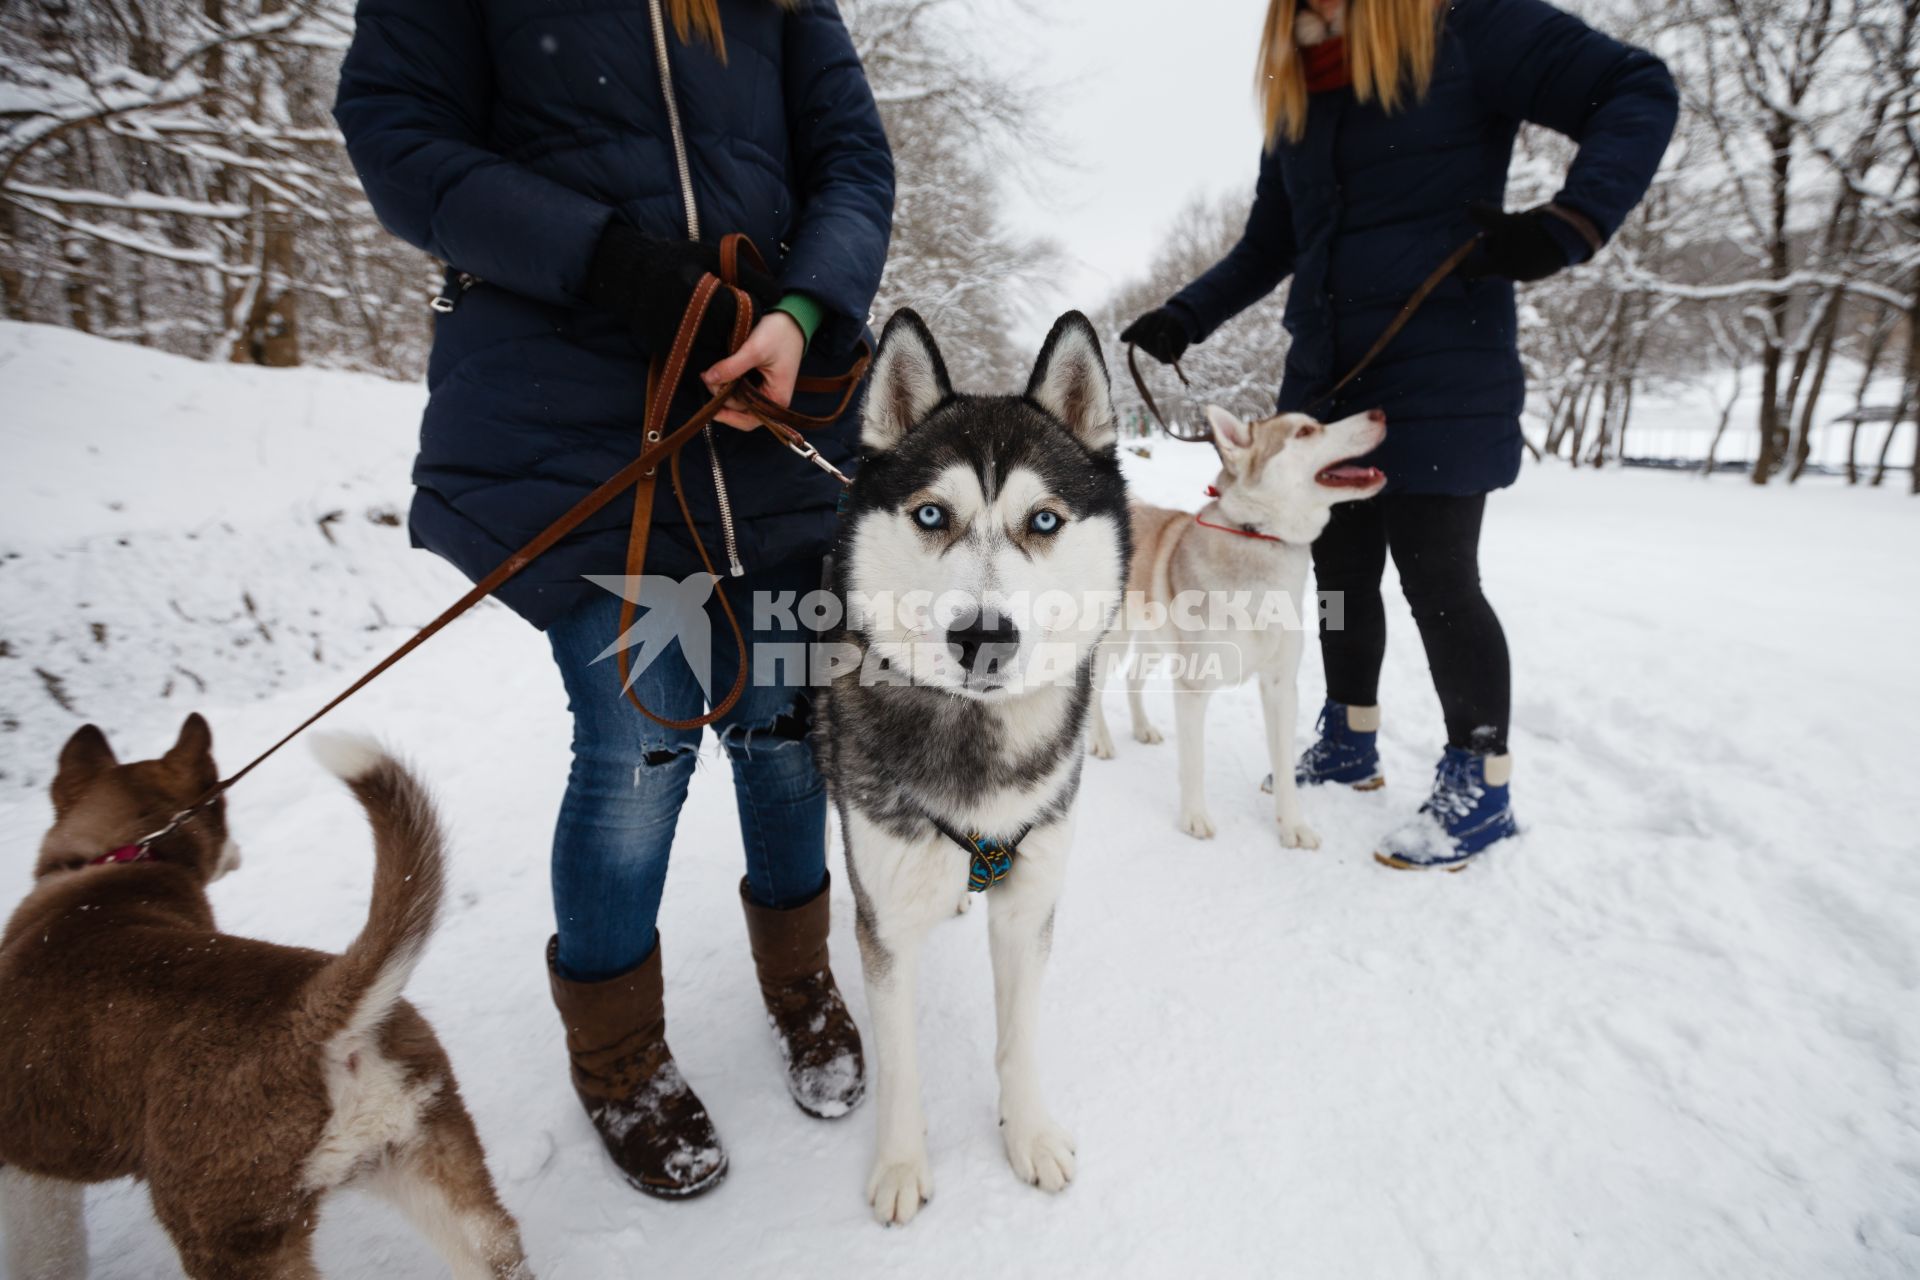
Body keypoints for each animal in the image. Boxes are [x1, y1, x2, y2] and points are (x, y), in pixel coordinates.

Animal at [817, 305, 1128, 1228]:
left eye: (1045, 521)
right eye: (931, 515)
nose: (983, 634)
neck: (976, 737)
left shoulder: (1030, 902)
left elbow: (1017, 1036)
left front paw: (1027, 1135)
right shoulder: (884, 921)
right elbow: (901, 1061)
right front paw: (899, 1164)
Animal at [1090, 410, 1390, 852]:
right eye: (1305, 431)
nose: (1378, 413)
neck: (1259, 536)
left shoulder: (1281, 687)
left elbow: (1284, 770)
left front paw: (1292, 826)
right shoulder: (1193, 686)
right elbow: (1194, 763)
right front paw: (1194, 817)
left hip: (1155, 643)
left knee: (1132, 679)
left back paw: (1142, 728)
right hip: (1112, 641)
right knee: (1093, 688)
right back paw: (1099, 739)